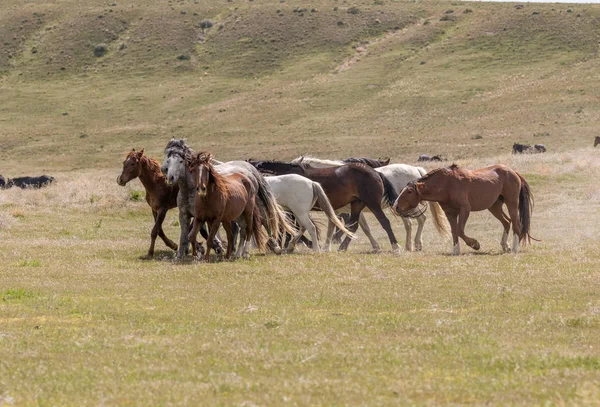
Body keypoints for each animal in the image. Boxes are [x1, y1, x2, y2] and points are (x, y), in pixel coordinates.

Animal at [248, 159, 398, 252]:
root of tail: (376, 172)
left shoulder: (293, 210)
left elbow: (290, 228)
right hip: (357, 204)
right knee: (353, 225)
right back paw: (342, 247)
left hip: (372, 203)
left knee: (384, 222)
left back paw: (395, 246)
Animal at [290, 156, 450, 252]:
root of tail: (416, 169)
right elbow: (345, 227)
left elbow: (352, 227)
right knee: (415, 222)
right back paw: (411, 245)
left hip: (407, 207)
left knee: (417, 221)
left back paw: (413, 244)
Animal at [394, 163, 536, 255]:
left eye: (409, 192)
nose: (396, 206)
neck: (447, 184)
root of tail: (513, 172)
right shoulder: (450, 213)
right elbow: (454, 231)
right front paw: (456, 250)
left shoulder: (464, 210)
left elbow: (460, 230)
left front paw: (475, 244)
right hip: (494, 207)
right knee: (507, 222)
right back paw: (505, 246)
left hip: (512, 204)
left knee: (516, 224)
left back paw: (515, 248)